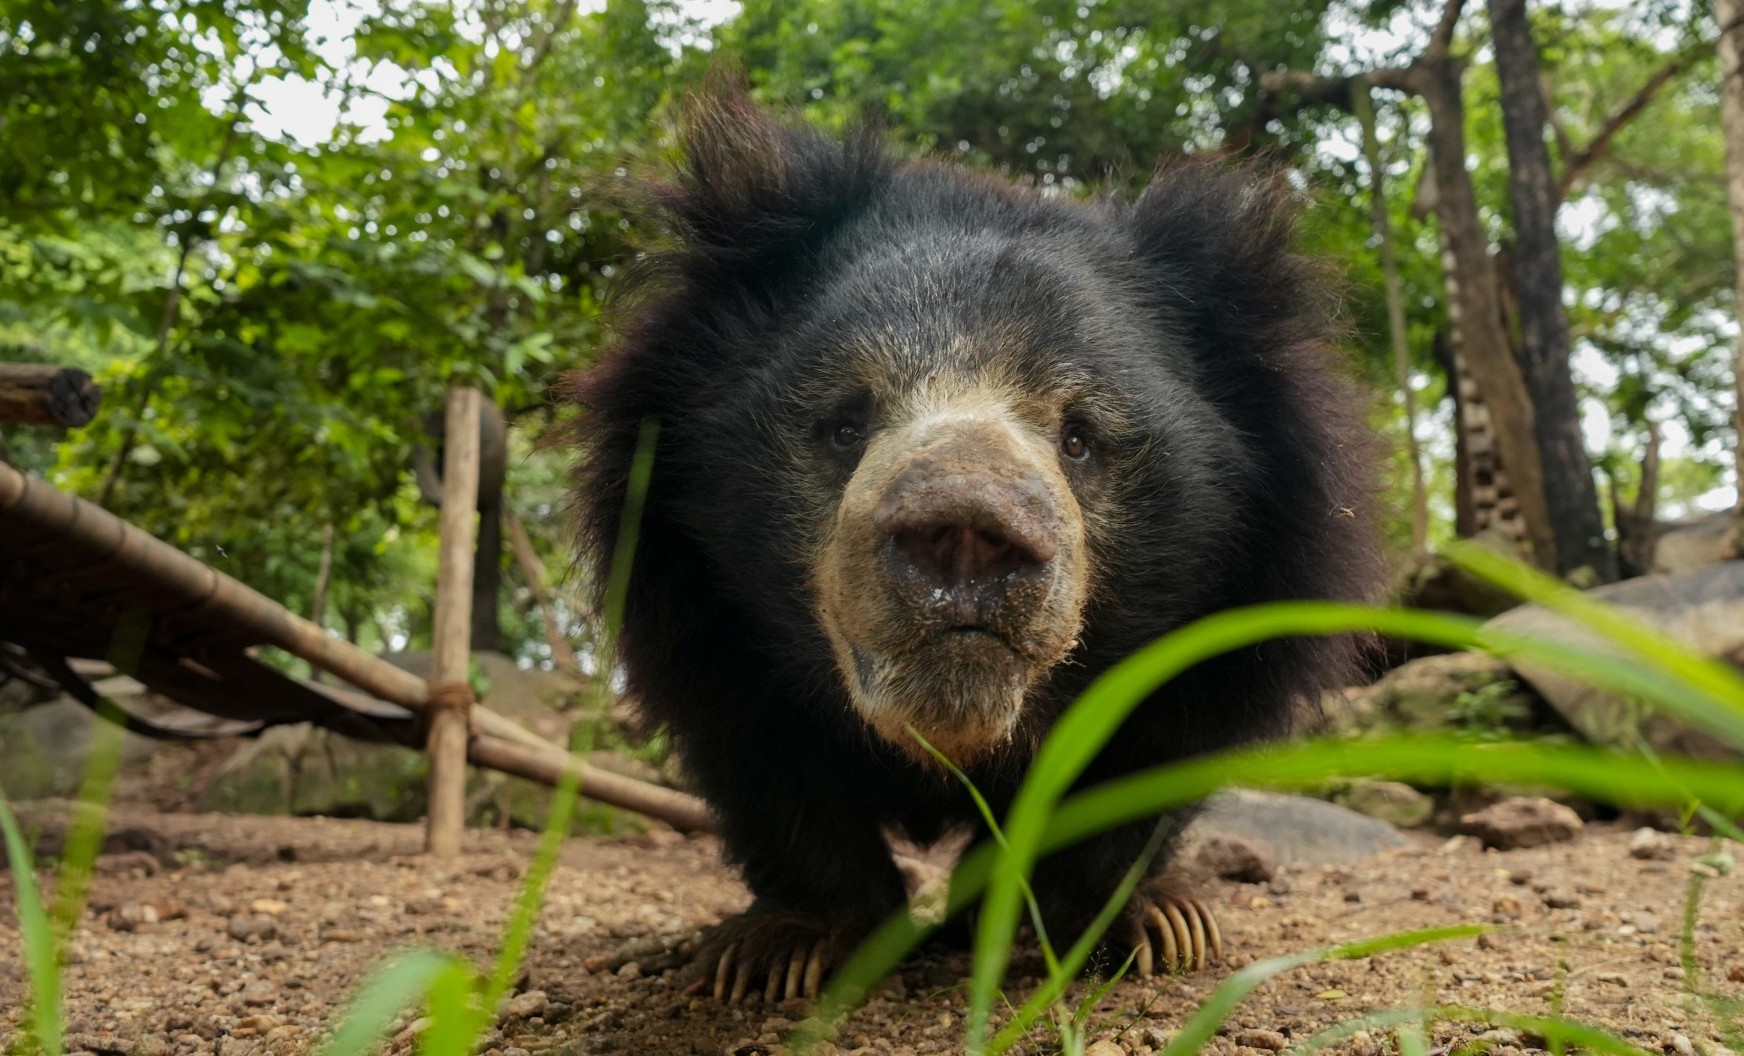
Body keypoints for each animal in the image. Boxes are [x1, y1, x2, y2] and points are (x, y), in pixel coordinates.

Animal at [563, 84, 1382, 1003]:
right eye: (844, 423)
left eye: (1080, 438)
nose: (965, 534)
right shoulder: (691, 591)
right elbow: (764, 756)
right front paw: (782, 946)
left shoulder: (1243, 598)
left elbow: (1145, 752)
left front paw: (1141, 925)